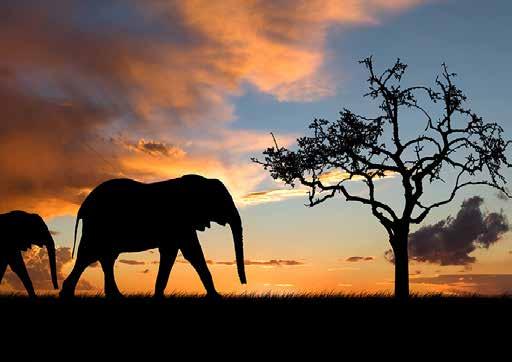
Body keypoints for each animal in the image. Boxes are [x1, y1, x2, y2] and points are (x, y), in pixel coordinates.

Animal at [61, 175, 247, 296]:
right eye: (222, 201)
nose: (244, 283)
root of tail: (83, 206)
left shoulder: (181, 225)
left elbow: (179, 252)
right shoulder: (178, 221)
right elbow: (189, 253)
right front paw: (217, 297)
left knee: (104, 257)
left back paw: (115, 296)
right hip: (98, 226)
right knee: (89, 255)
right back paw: (68, 294)